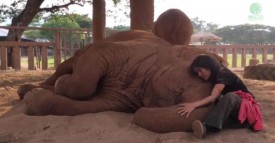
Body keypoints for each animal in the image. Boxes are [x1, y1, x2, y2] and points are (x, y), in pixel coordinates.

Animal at [18, 30, 224, 133]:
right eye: (200, 72)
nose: (139, 111)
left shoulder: (122, 96)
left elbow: (91, 105)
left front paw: (34, 99)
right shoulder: (125, 51)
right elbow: (87, 73)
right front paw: (58, 85)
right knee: (65, 65)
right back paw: (28, 89)